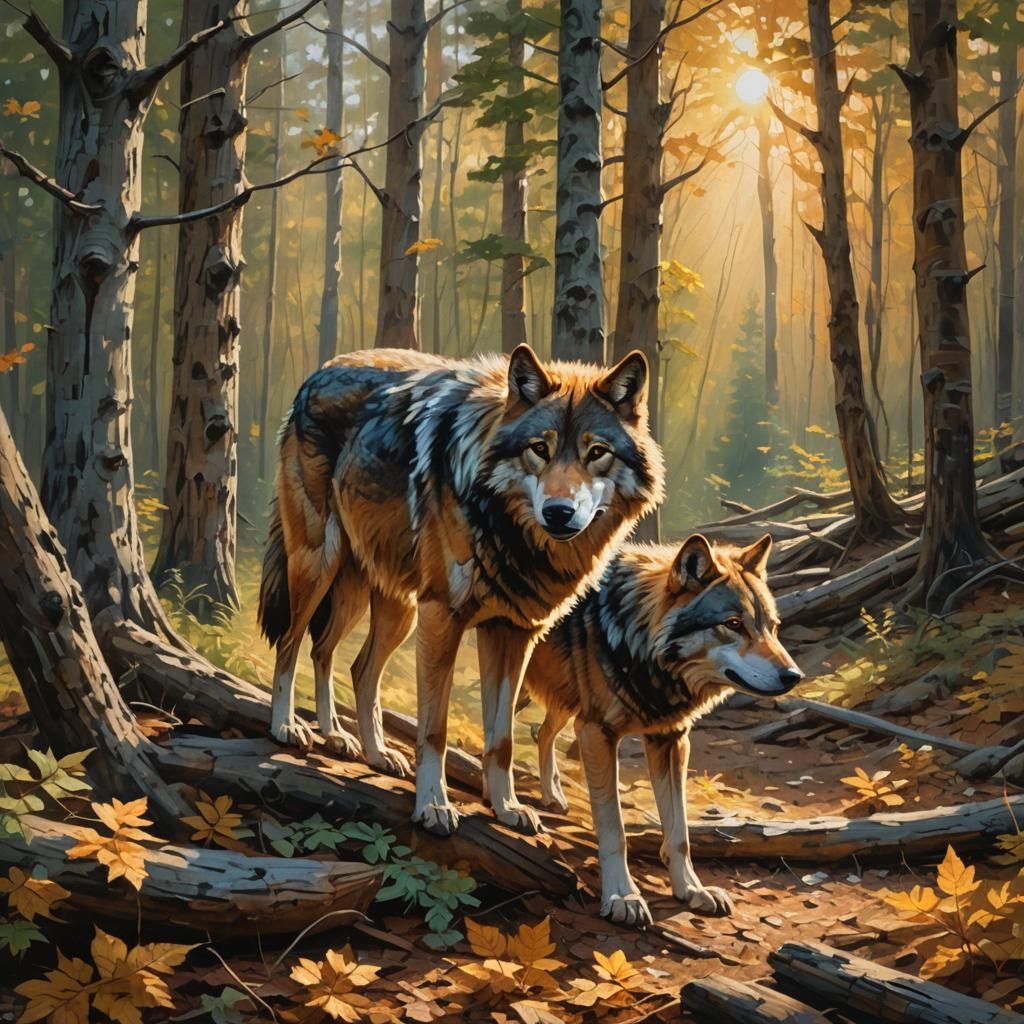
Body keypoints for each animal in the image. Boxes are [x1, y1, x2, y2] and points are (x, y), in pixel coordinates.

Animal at [258, 345, 664, 836]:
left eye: (597, 453)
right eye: (539, 449)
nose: (558, 512)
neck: (511, 533)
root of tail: (321, 371)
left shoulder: (512, 633)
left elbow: (502, 738)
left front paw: (506, 807)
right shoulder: (443, 617)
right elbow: (434, 729)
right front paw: (433, 805)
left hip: (389, 607)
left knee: (344, 661)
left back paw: (355, 743)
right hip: (319, 564)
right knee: (291, 642)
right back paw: (287, 728)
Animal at [523, 532, 802, 925]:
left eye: (773, 627)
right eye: (733, 624)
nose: (794, 676)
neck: (638, 645)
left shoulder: (671, 740)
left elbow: (679, 832)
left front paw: (692, 890)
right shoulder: (596, 733)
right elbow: (615, 829)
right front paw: (622, 896)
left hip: (565, 701)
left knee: (543, 732)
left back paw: (551, 795)